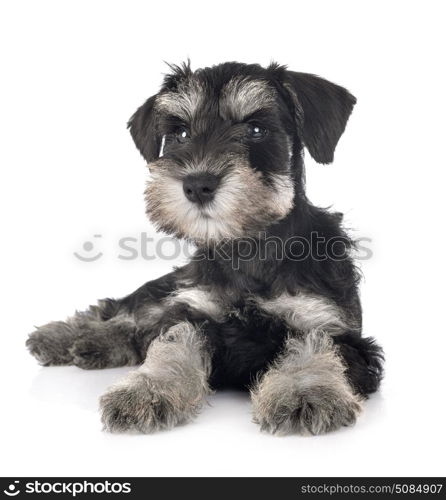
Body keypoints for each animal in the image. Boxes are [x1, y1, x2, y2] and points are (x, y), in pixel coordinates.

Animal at [27, 62, 384, 436]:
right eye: (181, 133)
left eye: (256, 129)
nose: (198, 184)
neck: (247, 250)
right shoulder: (193, 312)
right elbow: (172, 342)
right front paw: (146, 390)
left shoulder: (336, 330)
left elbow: (312, 346)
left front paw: (305, 392)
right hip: (169, 287)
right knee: (122, 309)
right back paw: (63, 337)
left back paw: (90, 345)